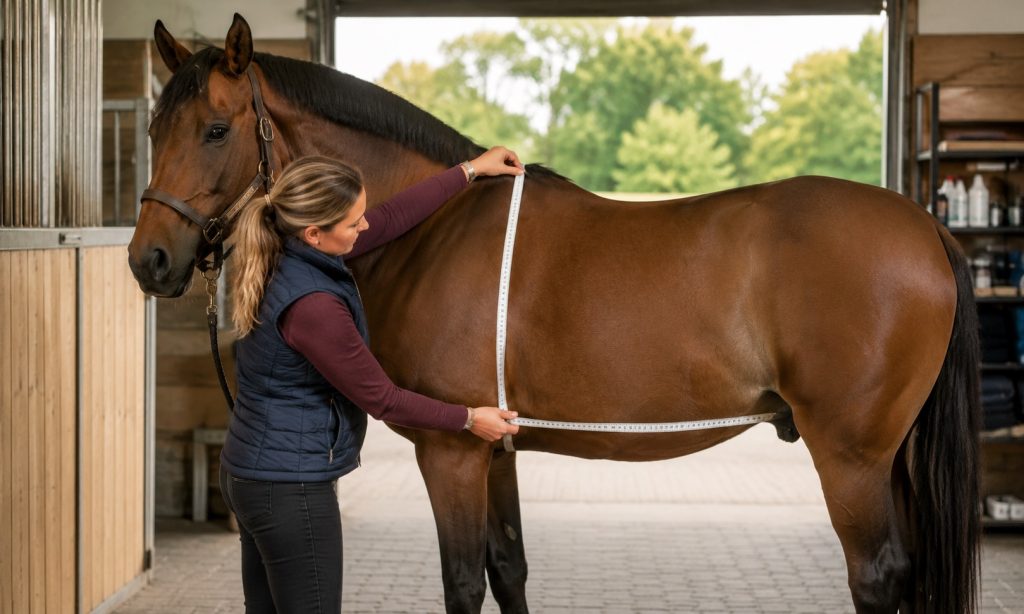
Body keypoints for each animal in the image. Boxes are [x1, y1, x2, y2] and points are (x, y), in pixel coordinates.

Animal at [127, 14, 980, 614]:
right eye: (153, 128)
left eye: (215, 129)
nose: (149, 261)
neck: (434, 231)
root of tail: (925, 228)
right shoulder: (494, 448)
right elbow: (509, 570)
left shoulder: (451, 453)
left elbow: (463, 583)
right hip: (891, 459)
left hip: (853, 458)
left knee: (878, 577)